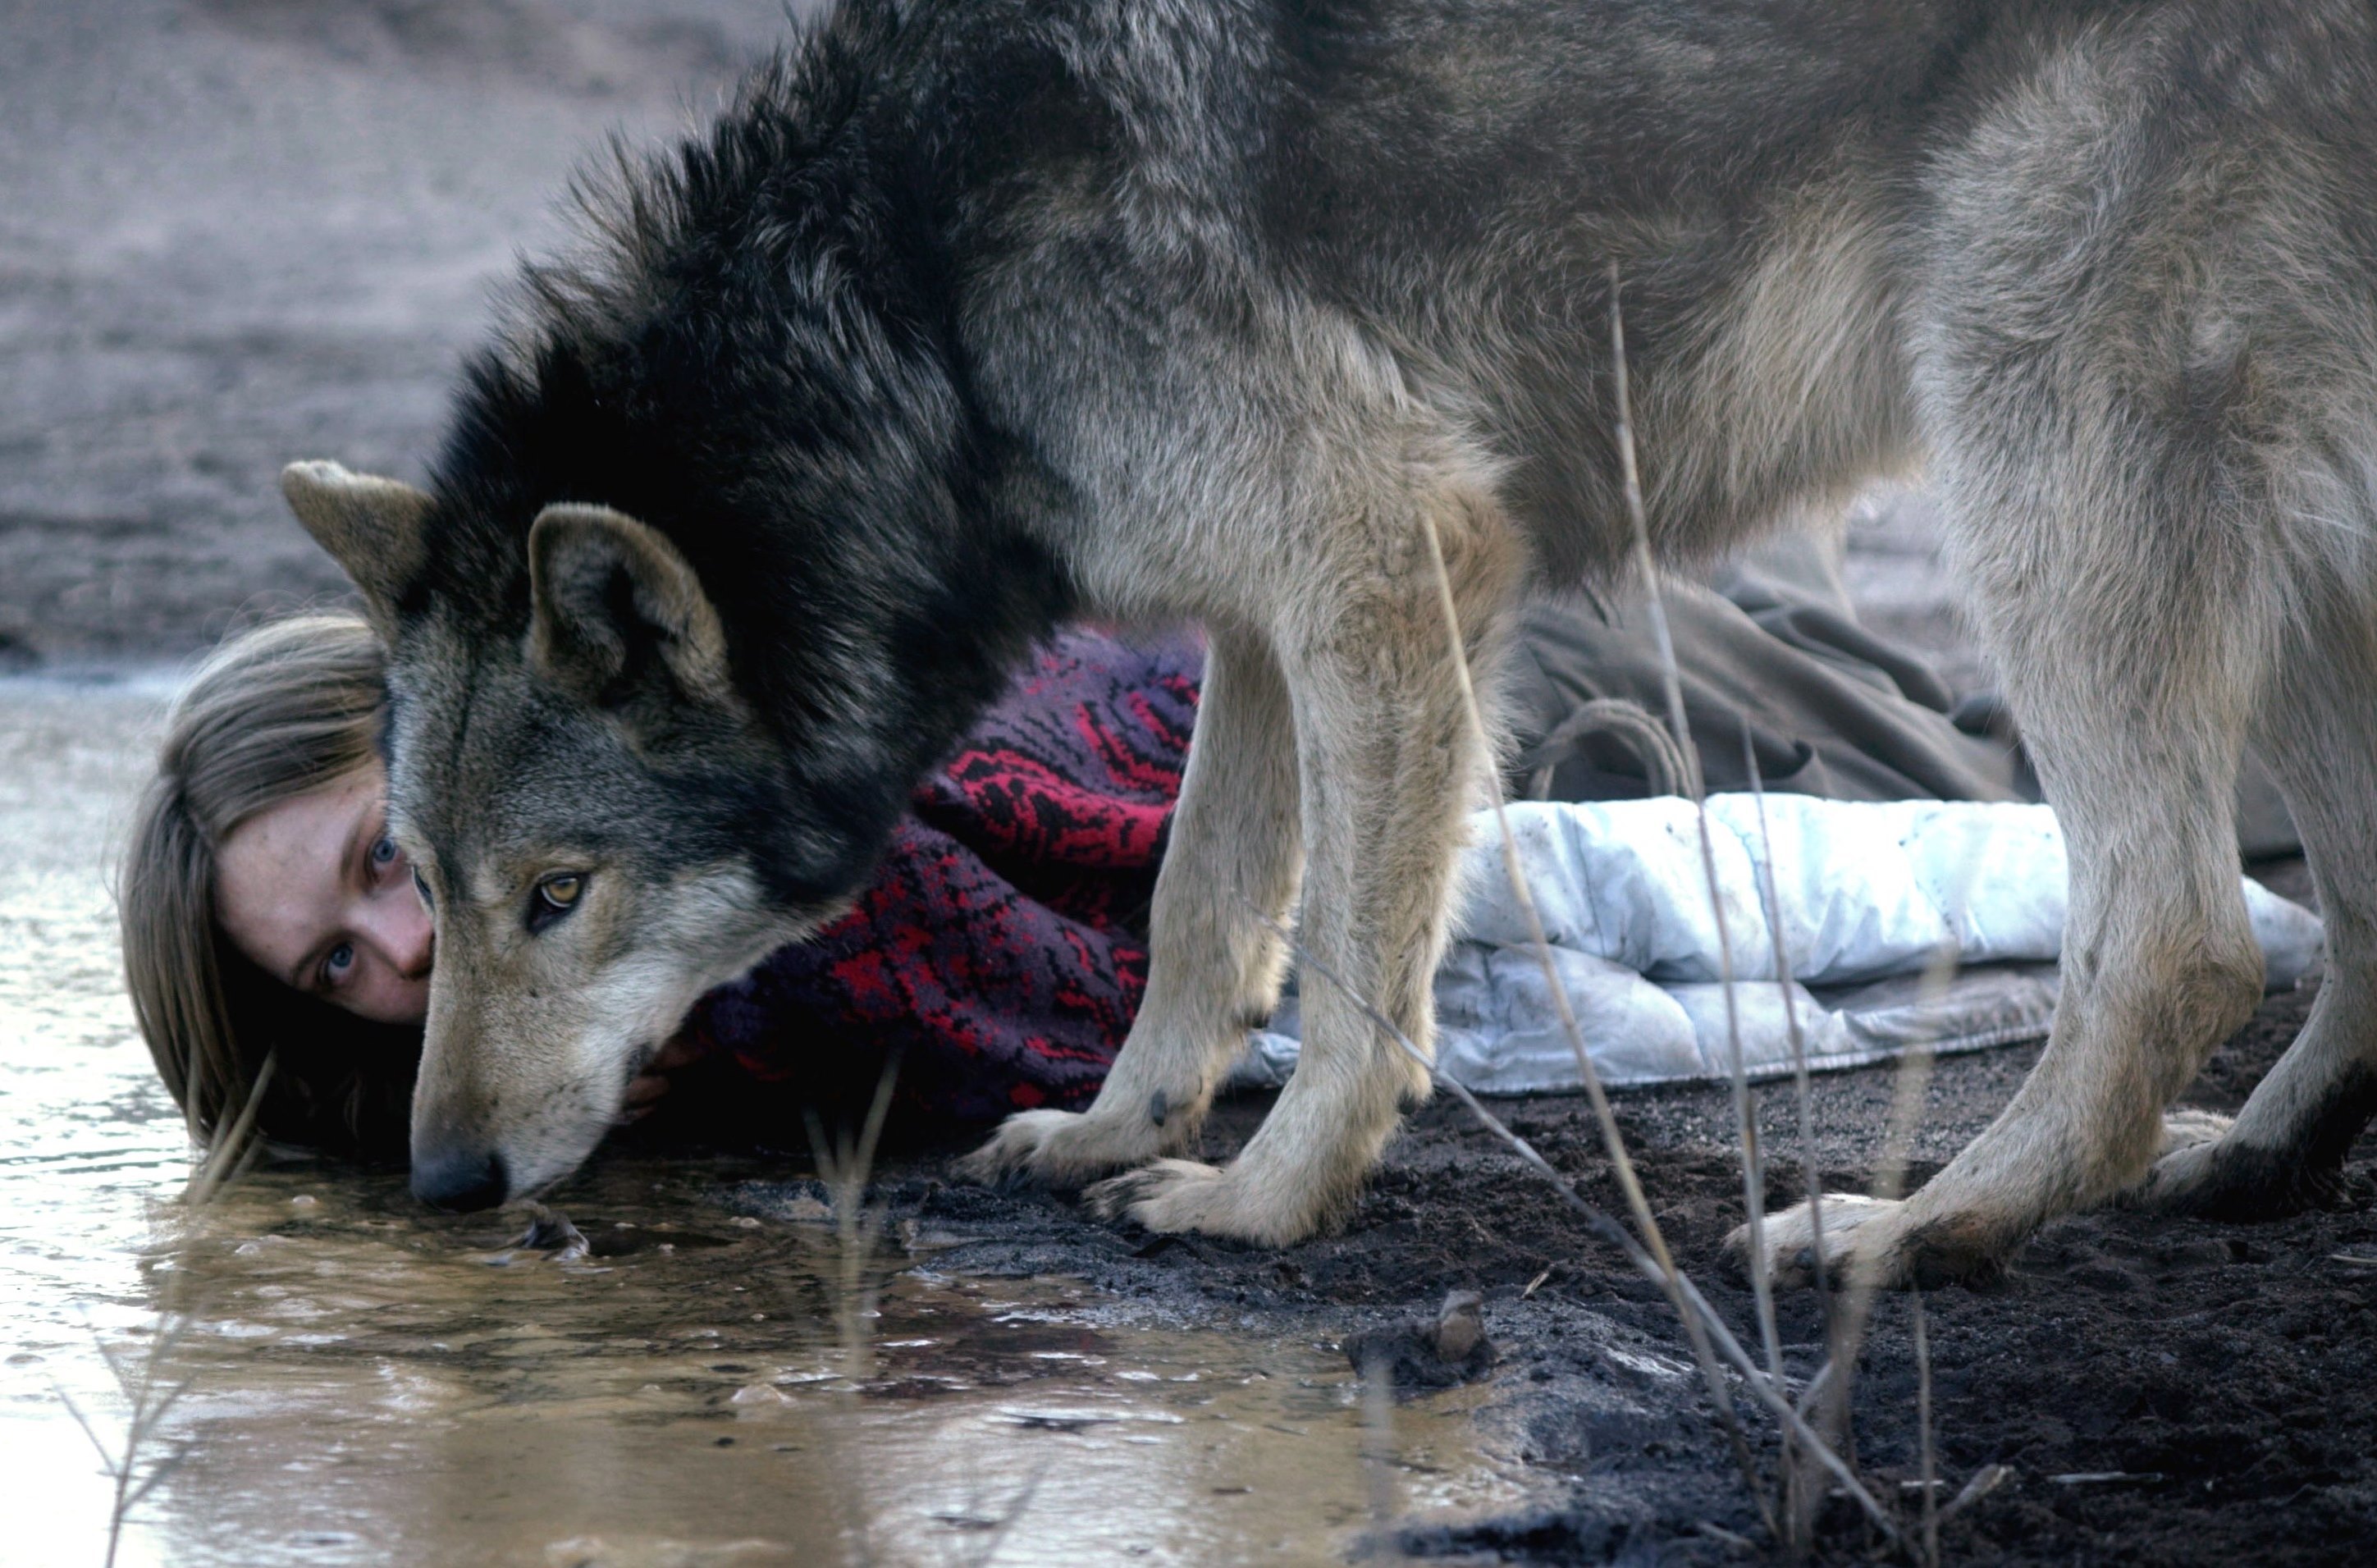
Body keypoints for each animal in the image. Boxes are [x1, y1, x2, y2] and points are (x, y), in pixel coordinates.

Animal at [287, 0, 2377, 1282]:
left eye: (558, 896)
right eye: (425, 885)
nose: (439, 1180)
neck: (912, 292)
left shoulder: (1388, 551)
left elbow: (1359, 963)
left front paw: (1264, 1200)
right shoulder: (1261, 612)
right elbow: (1201, 912)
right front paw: (1117, 1128)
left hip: (2034, 476)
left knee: (2176, 933)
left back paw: (1907, 1235)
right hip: (2277, 572)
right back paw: (2240, 1165)